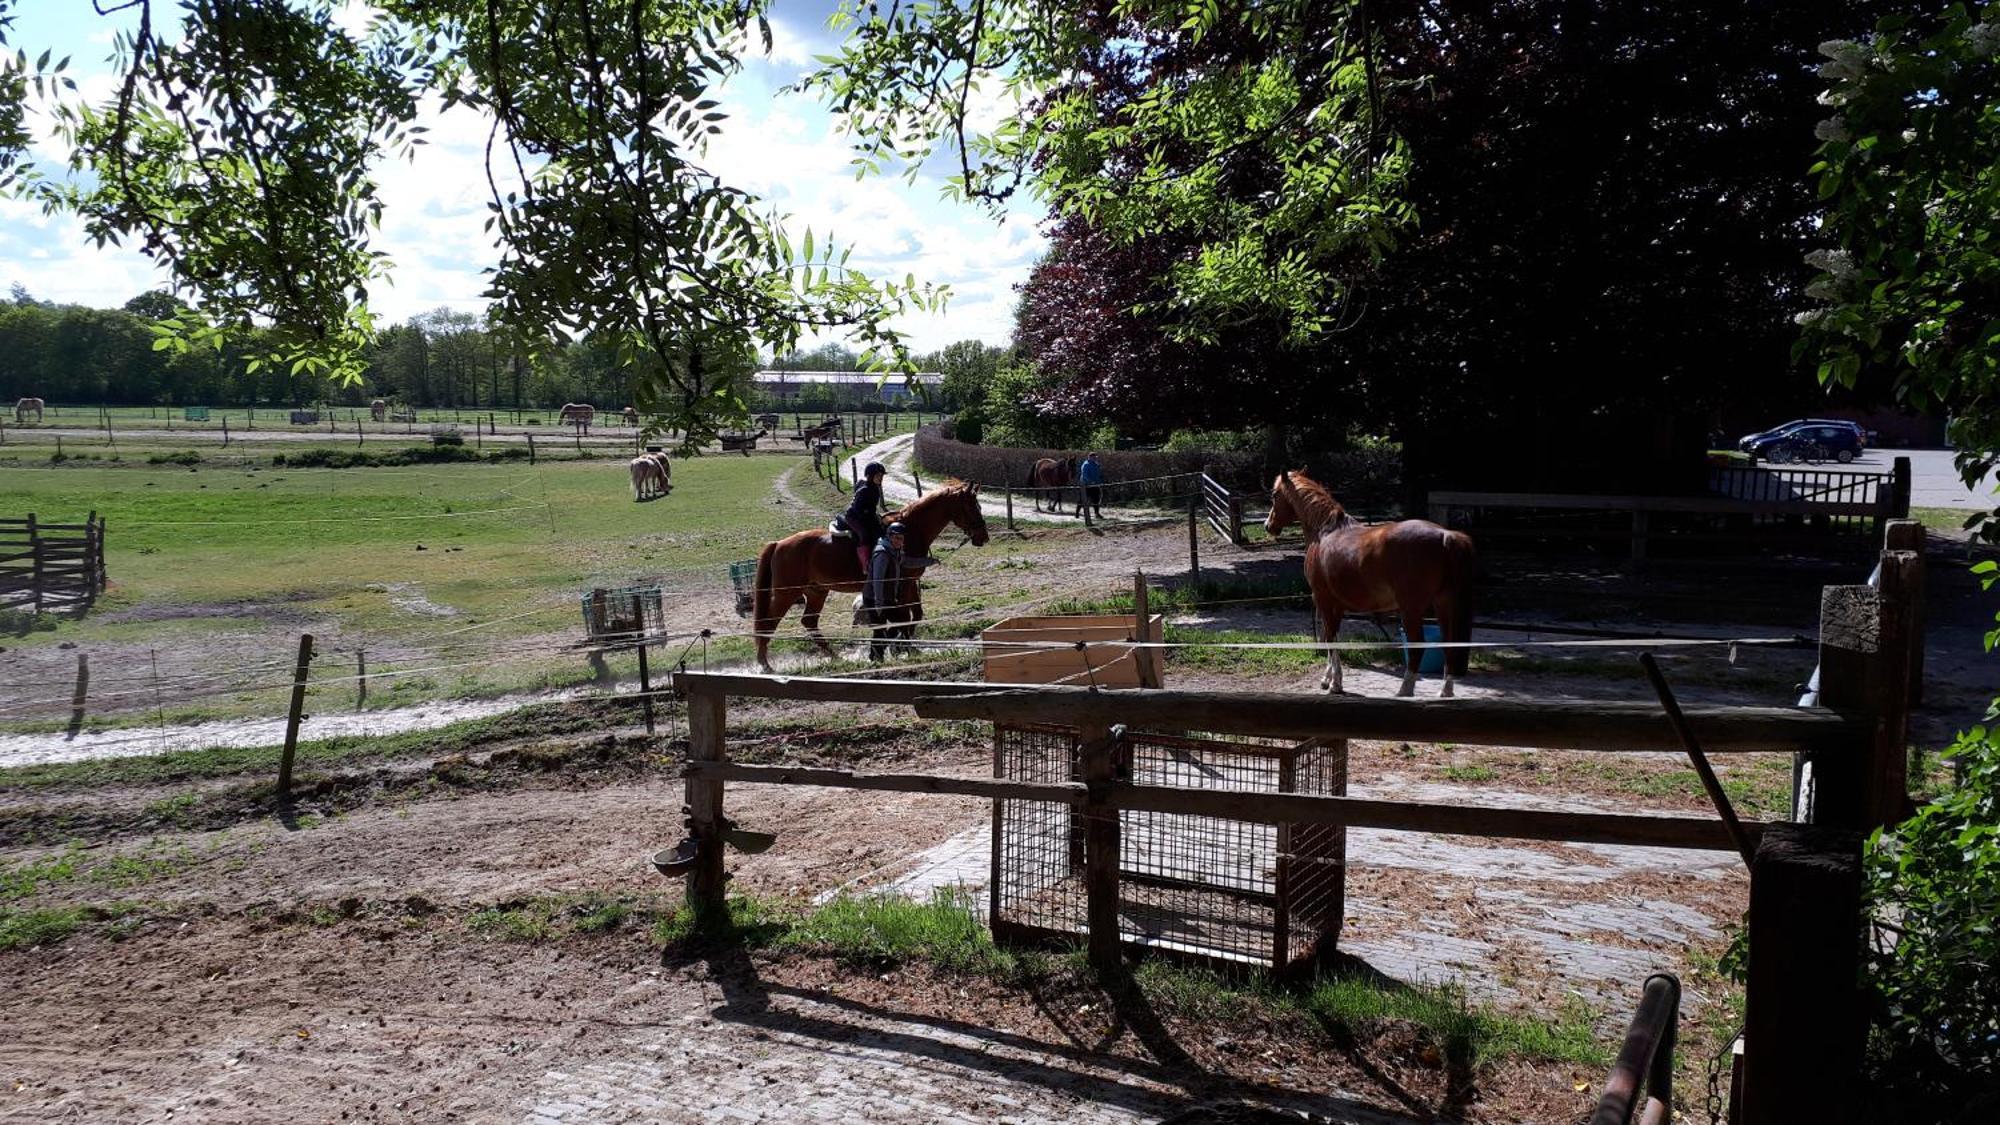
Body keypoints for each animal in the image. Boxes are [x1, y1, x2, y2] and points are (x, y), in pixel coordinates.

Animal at [752, 480, 992, 668]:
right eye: (971, 506)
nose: (983, 537)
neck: (908, 531)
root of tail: (779, 544)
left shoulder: (909, 583)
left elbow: (916, 615)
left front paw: (907, 648)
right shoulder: (902, 584)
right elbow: (905, 617)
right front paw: (901, 647)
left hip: (816, 592)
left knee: (809, 622)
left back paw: (835, 657)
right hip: (787, 594)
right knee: (769, 623)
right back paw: (765, 664)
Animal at [1272, 464, 1480, 692]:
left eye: (1274, 495)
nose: (1268, 525)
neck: (1325, 531)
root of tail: (1446, 536)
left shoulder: (1322, 599)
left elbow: (1330, 637)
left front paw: (1334, 682)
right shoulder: (1336, 604)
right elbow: (1332, 635)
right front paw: (1329, 679)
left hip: (1411, 609)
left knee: (1417, 647)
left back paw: (1404, 691)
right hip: (1443, 602)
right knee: (1449, 643)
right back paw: (1445, 693)